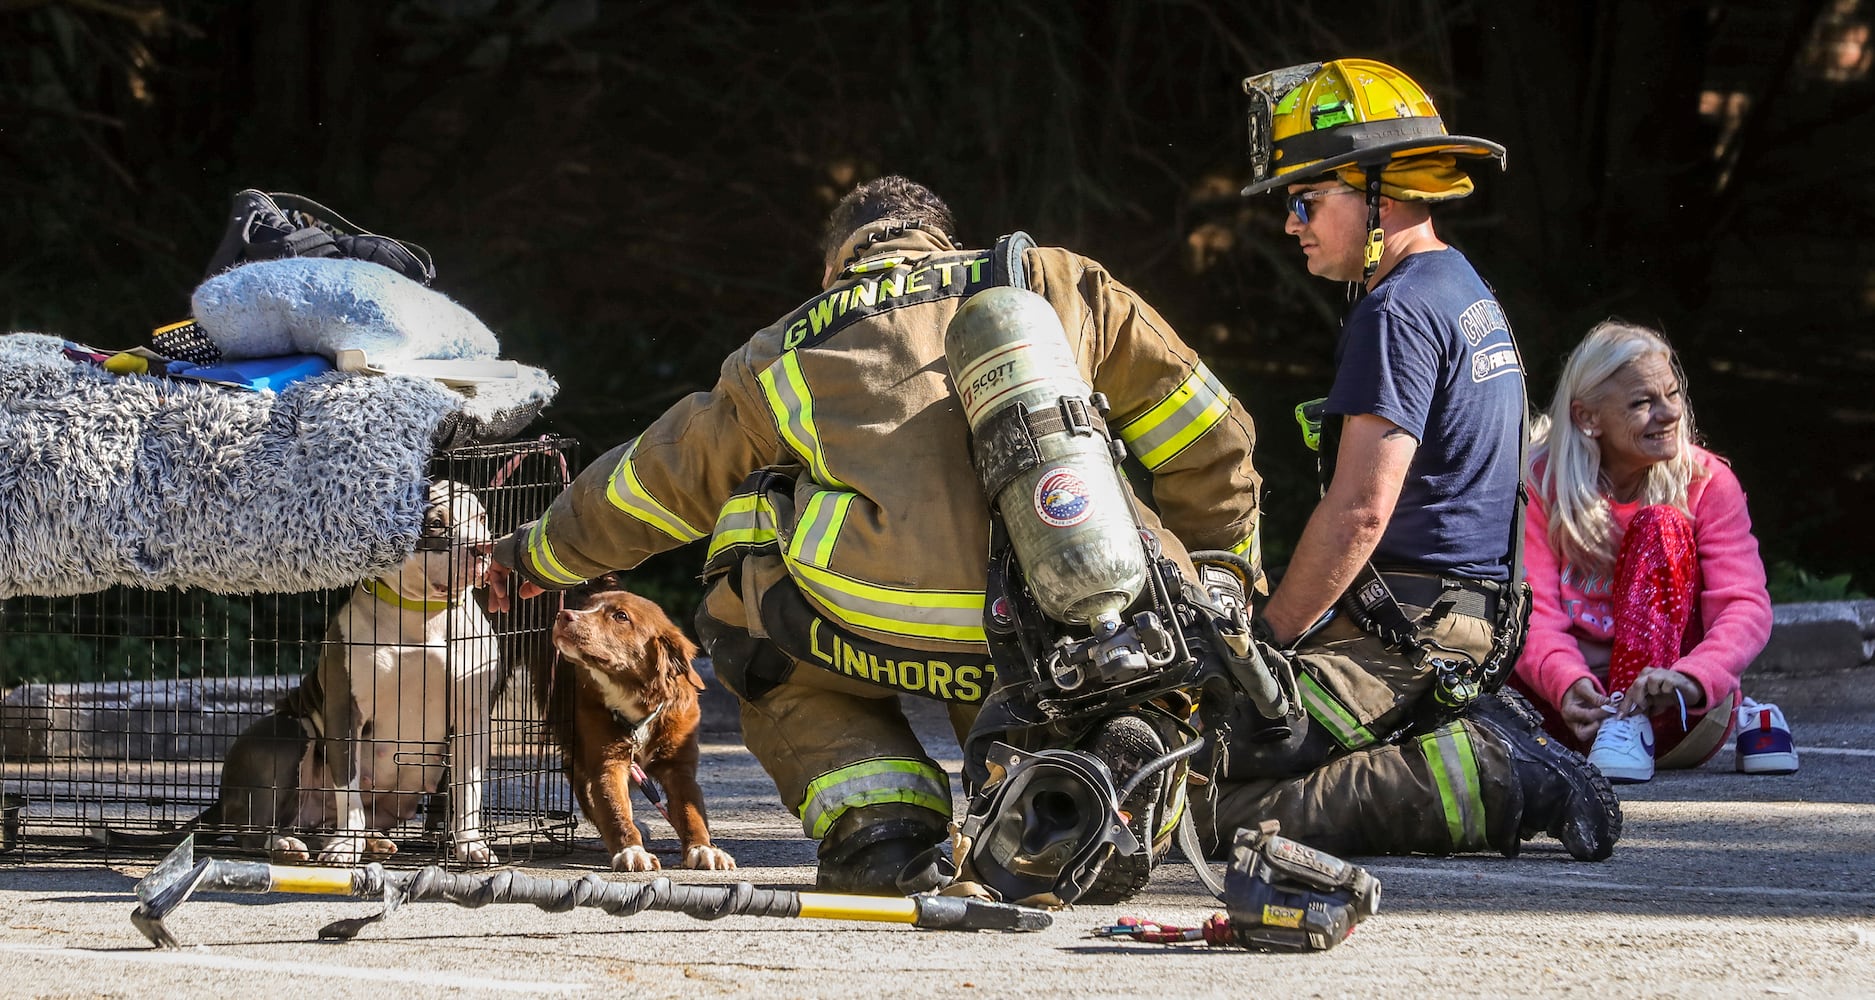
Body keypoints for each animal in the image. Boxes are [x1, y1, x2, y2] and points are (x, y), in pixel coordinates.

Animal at [532, 581, 735, 870]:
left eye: (621, 616)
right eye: (585, 607)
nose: (563, 616)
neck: (634, 700)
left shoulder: (679, 766)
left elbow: (690, 811)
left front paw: (704, 848)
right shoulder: (609, 762)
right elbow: (615, 810)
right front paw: (631, 850)